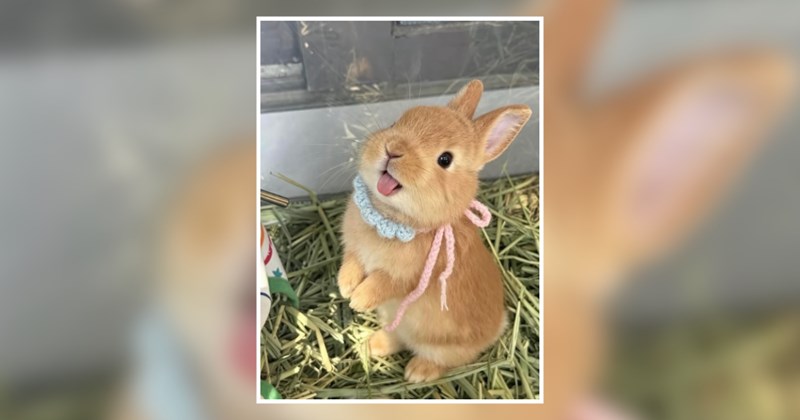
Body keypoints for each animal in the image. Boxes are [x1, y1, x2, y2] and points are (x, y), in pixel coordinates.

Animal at [337, 79, 533, 383]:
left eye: (445, 159)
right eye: (397, 121)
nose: (392, 149)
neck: (391, 220)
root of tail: (498, 327)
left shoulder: (409, 277)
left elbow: (383, 283)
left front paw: (358, 300)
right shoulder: (354, 251)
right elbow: (352, 264)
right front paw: (344, 288)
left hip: (441, 346)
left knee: (444, 360)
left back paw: (416, 373)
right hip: (395, 323)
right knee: (397, 339)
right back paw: (371, 345)